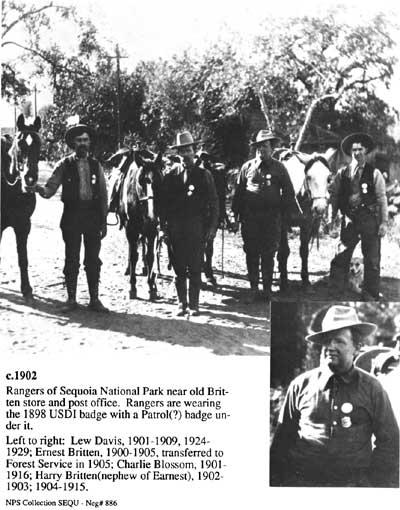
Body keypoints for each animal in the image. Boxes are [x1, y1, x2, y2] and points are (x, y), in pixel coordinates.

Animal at [108, 147, 163, 298]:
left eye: (159, 180)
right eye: (142, 181)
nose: (152, 214)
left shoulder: (151, 231)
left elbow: (150, 256)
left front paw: (151, 285)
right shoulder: (131, 230)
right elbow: (133, 256)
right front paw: (132, 287)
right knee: (132, 249)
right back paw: (129, 269)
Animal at [276, 148, 332, 290]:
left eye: (329, 178)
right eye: (308, 177)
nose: (320, 207)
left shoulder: (306, 224)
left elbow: (304, 251)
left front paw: (305, 280)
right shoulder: (283, 224)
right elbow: (284, 251)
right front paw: (284, 282)